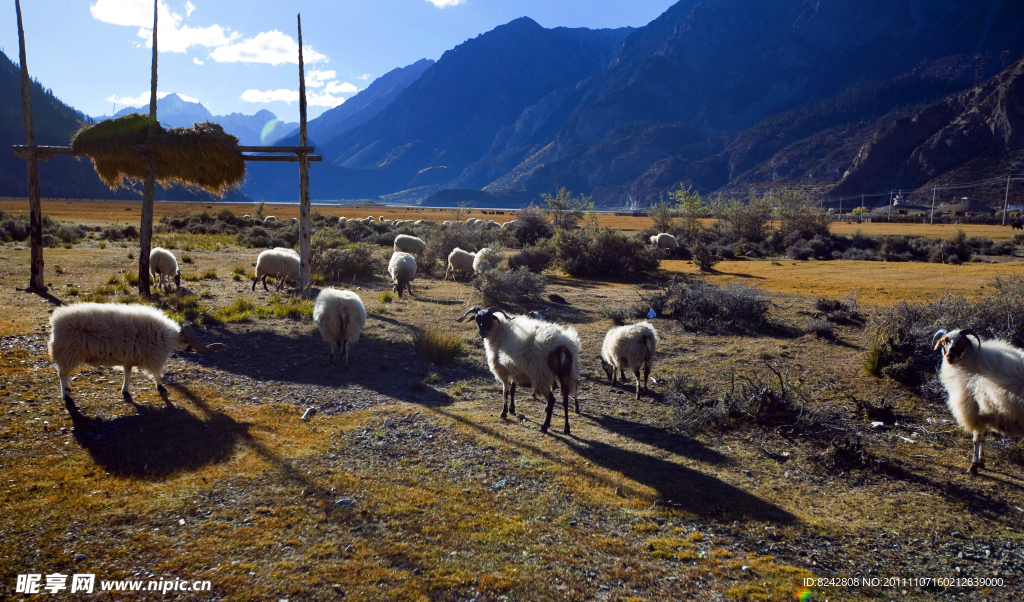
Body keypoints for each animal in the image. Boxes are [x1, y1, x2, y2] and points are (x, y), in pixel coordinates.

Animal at [48, 303, 226, 407]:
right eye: (186, 339)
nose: (189, 349)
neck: (169, 336)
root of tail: (56, 320)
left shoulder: (129, 358)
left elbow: (128, 375)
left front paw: (125, 391)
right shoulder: (153, 356)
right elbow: (156, 374)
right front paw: (161, 388)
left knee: (63, 374)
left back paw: (68, 391)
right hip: (67, 353)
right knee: (62, 374)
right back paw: (66, 395)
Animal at [933, 329, 1024, 475]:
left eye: (962, 342)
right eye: (944, 342)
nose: (950, 356)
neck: (971, 362)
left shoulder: (974, 412)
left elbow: (976, 440)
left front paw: (973, 466)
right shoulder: (985, 414)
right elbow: (983, 438)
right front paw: (981, 462)